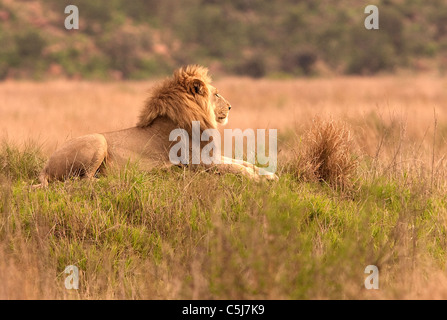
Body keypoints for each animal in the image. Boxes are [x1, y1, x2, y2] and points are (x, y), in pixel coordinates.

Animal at [35, 64, 278, 188]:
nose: (230, 106)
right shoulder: (199, 163)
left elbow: (242, 162)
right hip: (98, 140)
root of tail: (45, 168)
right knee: (82, 182)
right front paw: (259, 179)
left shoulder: (211, 155)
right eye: (216, 94)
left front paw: (268, 174)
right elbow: (236, 168)